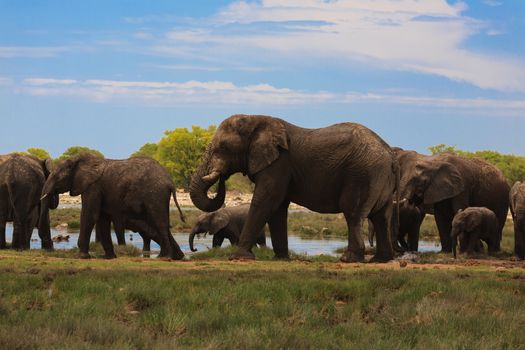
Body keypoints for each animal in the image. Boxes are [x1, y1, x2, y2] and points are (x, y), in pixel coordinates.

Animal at [41, 154, 185, 258]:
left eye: (56, 177)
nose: (49, 245)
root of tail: (170, 181)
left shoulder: (93, 187)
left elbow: (90, 215)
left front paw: (83, 256)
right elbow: (102, 219)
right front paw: (109, 257)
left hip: (155, 194)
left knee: (159, 222)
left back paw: (165, 257)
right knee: (160, 223)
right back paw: (177, 256)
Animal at [188, 113, 398, 262]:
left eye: (222, 148)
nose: (221, 176)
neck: (257, 119)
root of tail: (389, 153)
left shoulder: (278, 164)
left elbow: (265, 201)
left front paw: (238, 257)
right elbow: (277, 208)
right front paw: (280, 258)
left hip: (362, 173)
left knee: (353, 212)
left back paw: (349, 259)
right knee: (381, 216)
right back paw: (380, 260)